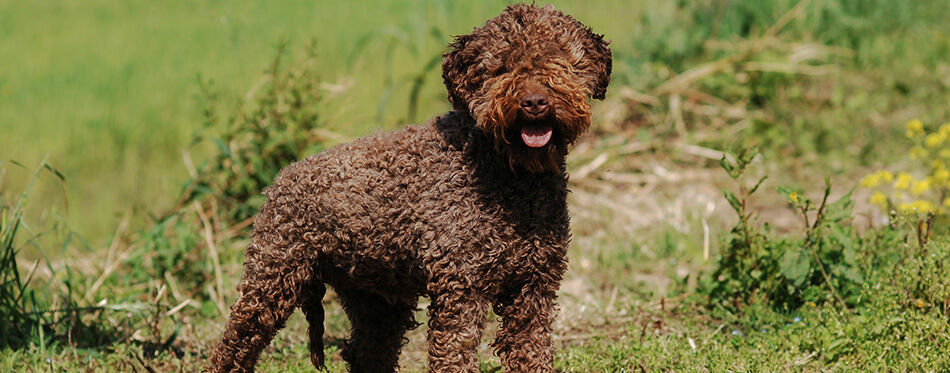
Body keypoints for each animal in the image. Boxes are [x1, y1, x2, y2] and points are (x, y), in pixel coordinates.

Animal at [211, 4, 612, 370]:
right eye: (500, 68)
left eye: (560, 61)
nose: (534, 102)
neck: (509, 174)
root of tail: (282, 176)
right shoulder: (460, 288)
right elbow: (454, 358)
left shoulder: (534, 287)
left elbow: (532, 354)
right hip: (273, 279)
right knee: (232, 348)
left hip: (376, 298)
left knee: (365, 353)